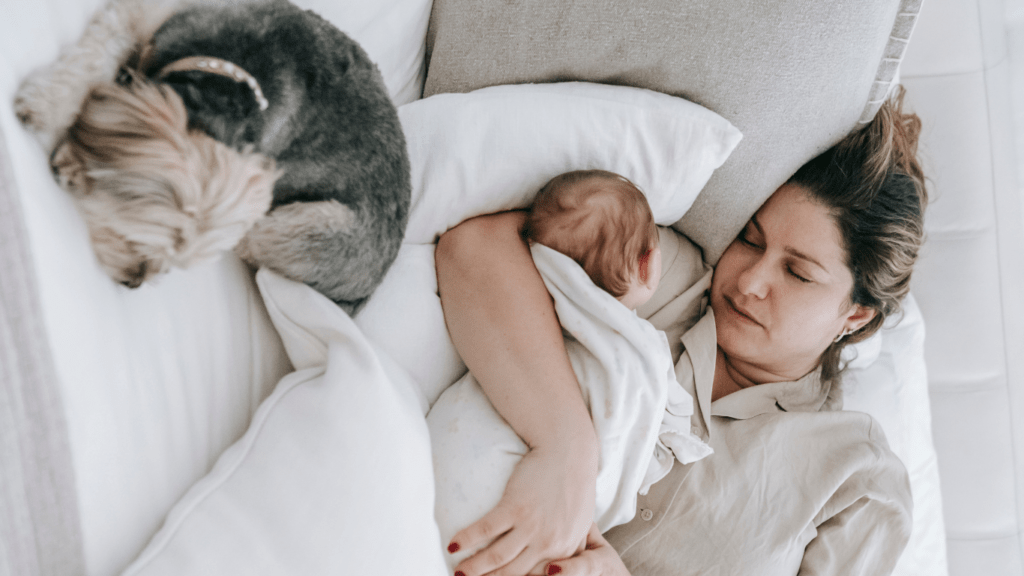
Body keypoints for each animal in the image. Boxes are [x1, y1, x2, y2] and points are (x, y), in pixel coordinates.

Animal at [12, 0, 409, 313]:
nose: (134, 281)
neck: (229, 78)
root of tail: (368, 288)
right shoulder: (150, 17)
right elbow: (99, 51)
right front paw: (46, 105)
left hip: (304, 226)